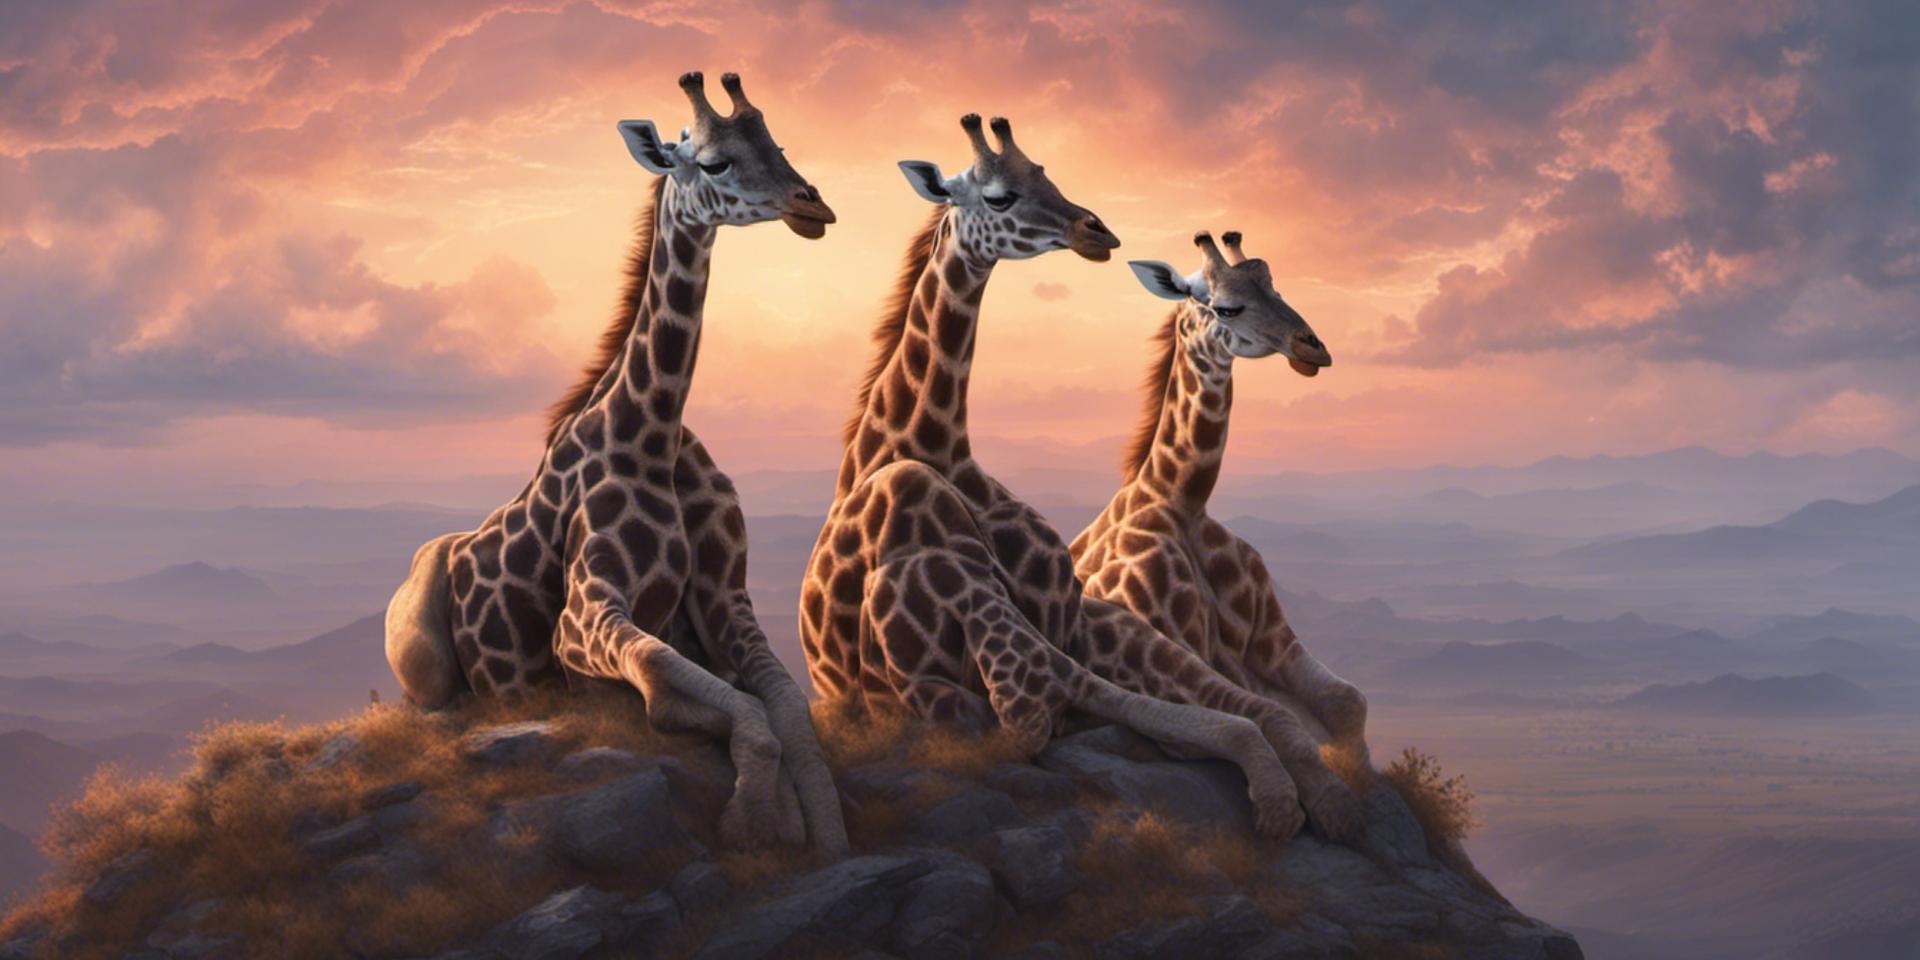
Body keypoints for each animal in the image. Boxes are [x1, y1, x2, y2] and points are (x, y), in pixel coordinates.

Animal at [384, 72, 848, 855]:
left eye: (779, 146)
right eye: (715, 162)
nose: (812, 206)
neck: (653, 430)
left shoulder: (727, 601)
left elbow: (788, 708)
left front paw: (819, 832)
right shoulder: (582, 616)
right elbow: (691, 685)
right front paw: (755, 819)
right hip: (416, 642)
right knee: (430, 709)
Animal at [1070, 229, 1369, 779]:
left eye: (1278, 290)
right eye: (1227, 307)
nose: (1312, 350)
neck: (1182, 499)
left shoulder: (1273, 640)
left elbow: (1347, 702)